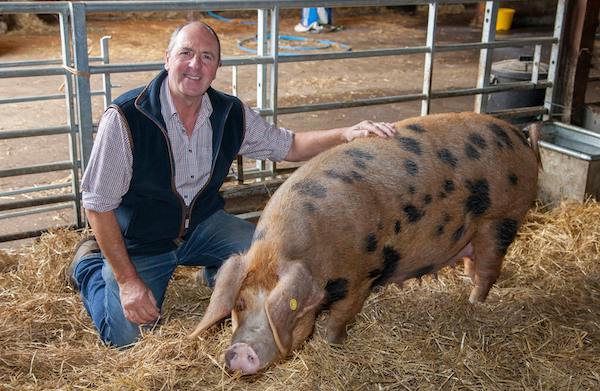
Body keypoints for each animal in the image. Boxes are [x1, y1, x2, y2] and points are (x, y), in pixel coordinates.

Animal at [188, 112, 540, 376]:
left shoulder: (363, 275)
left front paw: (332, 343)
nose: (239, 351)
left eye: (285, 308)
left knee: (488, 269)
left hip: (502, 218)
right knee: (473, 261)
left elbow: (341, 317)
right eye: (240, 304)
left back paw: (473, 302)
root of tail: (518, 136)